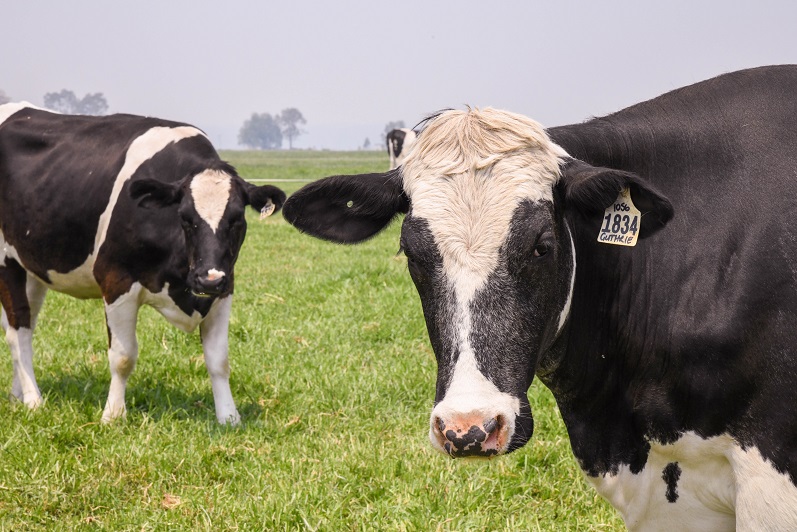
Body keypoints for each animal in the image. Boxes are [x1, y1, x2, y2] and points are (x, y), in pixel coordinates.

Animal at [0, 103, 286, 424]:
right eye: (185, 217)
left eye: (237, 219)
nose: (207, 279)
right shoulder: (116, 281)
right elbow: (123, 357)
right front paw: (113, 416)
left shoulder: (225, 288)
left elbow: (219, 359)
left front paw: (229, 417)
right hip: (6, 260)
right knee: (17, 331)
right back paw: (33, 400)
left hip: (32, 266)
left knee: (23, 323)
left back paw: (17, 394)